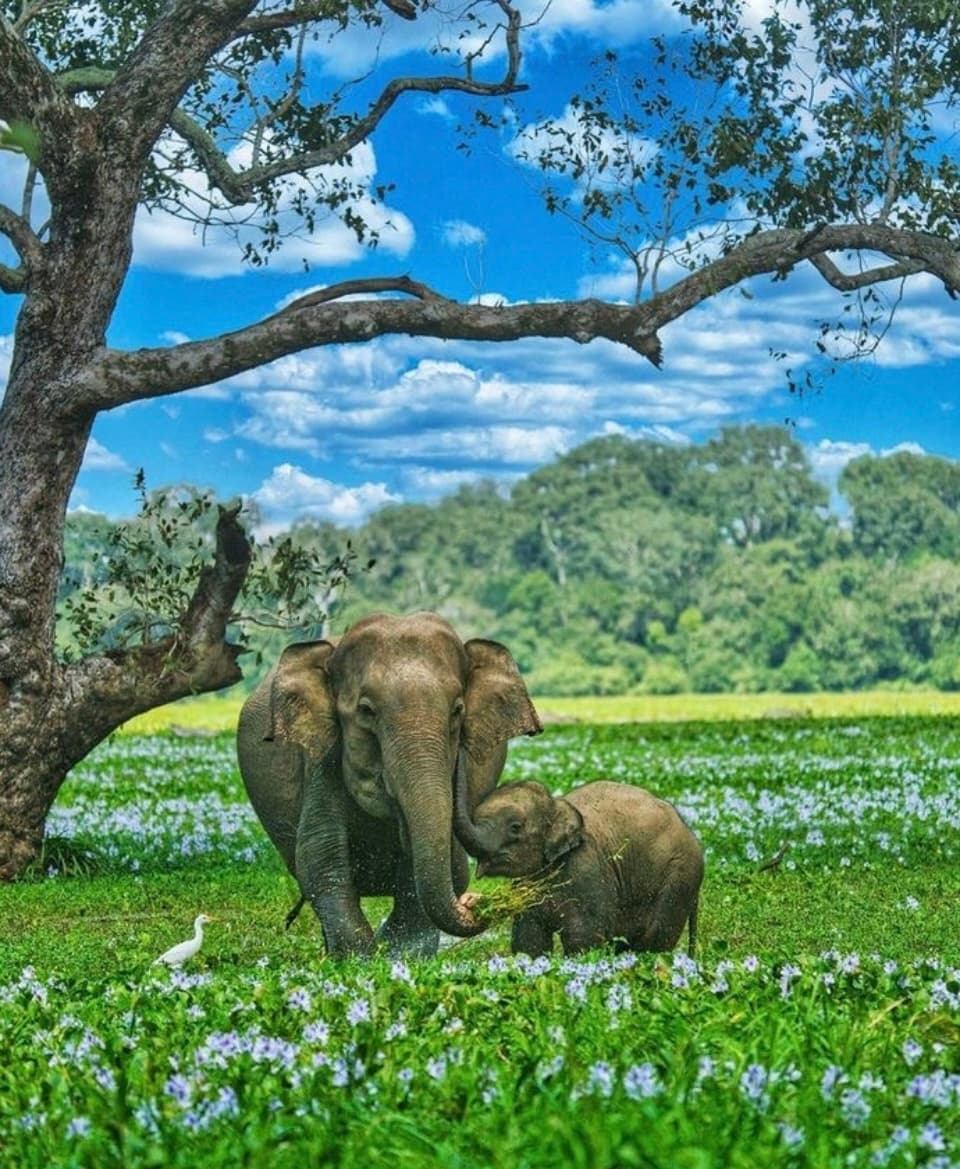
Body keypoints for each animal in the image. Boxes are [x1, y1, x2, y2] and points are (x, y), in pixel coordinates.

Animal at [236, 611, 541, 958]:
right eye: (366, 710)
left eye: (458, 710)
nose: (474, 902)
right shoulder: (321, 760)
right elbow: (321, 860)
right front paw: (361, 959)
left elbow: (425, 871)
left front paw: (401, 956)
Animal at [457, 779, 703, 958]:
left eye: (515, 827)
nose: (469, 899)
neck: (558, 805)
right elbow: (529, 940)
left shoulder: (586, 869)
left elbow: (584, 936)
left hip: (679, 878)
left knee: (654, 939)